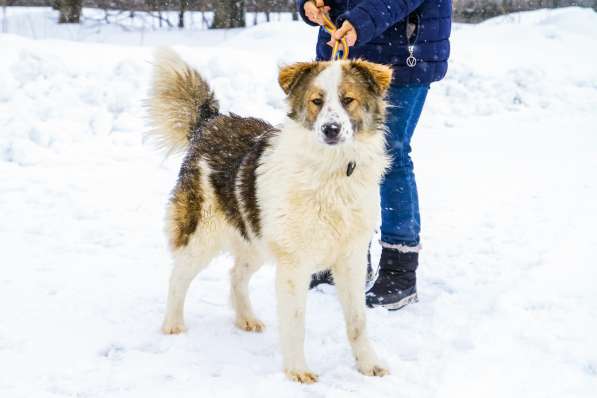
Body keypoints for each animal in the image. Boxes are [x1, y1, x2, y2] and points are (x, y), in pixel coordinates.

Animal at [147, 49, 394, 382]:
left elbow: (357, 321)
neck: (331, 170)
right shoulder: (294, 265)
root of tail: (210, 122)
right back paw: (172, 325)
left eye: (348, 100)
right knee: (178, 277)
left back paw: (246, 318)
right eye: (317, 101)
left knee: (236, 275)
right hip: (203, 234)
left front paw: (368, 363)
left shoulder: (351, 259)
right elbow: (296, 322)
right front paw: (297, 371)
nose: (331, 129)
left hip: (255, 238)